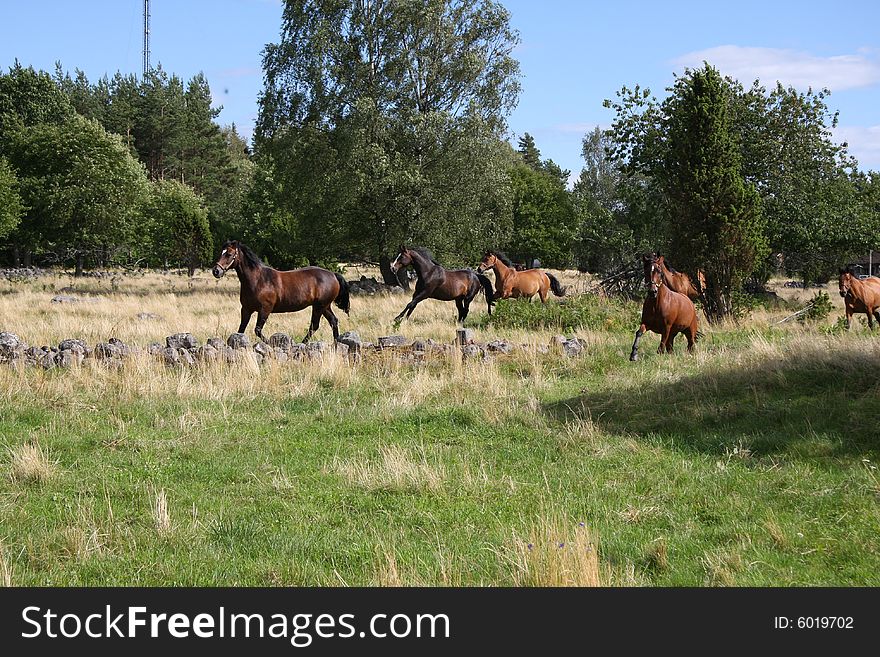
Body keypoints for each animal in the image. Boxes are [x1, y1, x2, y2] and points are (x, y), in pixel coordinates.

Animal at [211, 241, 348, 344]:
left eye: (229, 254)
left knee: (314, 325)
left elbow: (257, 330)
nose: (216, 271)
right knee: (333, 321)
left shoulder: (265, 309)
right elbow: (241, 330)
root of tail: (333, 275)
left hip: (319, 306)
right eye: (221, 253)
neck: (258, 280)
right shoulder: (246, 309)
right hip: (325, 306)